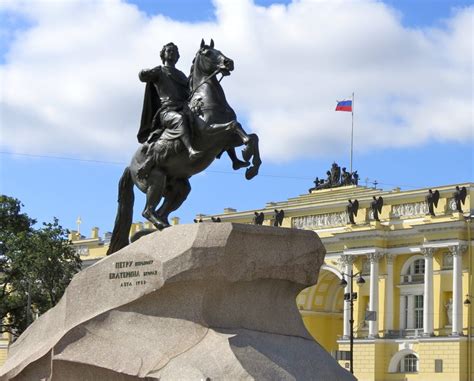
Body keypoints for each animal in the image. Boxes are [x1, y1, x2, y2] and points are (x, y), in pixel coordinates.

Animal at [107, 38, 262, 254]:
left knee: (162, 212)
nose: (229, 63)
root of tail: (130, 167)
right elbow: (236, 126)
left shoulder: (226, 140)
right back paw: (159, 226)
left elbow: (252, 136)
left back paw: (161, 228)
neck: (205, 100)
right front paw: (246, 154)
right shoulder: (210, 135)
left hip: (178, 189)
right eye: (207, 53)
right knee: (148, 211)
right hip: (155, 180)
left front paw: (250, 166)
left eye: (219, 50)